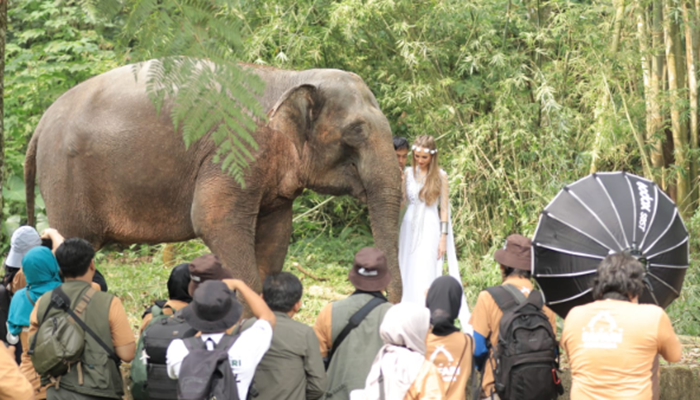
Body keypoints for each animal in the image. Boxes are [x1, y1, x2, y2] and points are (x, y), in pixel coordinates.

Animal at [24, 61, 402, 300]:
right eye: (356, 132)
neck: (288, 77)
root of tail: (40, 125)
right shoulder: (233, 151)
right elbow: (214, 220)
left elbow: (276, 233)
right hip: (65, 177)